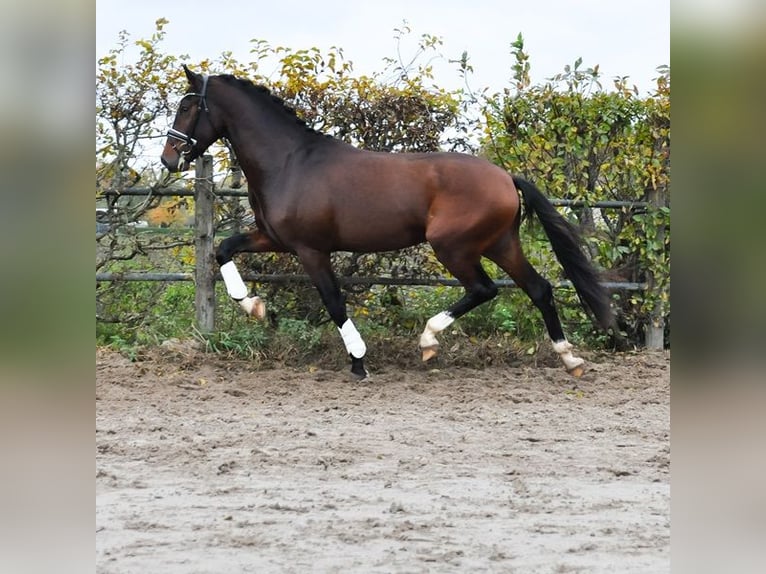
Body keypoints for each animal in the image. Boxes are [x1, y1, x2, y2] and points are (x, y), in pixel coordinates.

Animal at [162, 65, 616, 380]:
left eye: (186, 106)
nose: (168, 159)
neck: (290, 162)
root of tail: (506, 176)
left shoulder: (311, 250)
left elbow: (334, 301)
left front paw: (359, 361)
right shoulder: (273, 238)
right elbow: (224, 249)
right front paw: (252, 305)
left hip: (453, 245)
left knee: (484, 289)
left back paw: (429, 340)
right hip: (500, 243)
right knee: (539, 289)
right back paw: (570, 359)